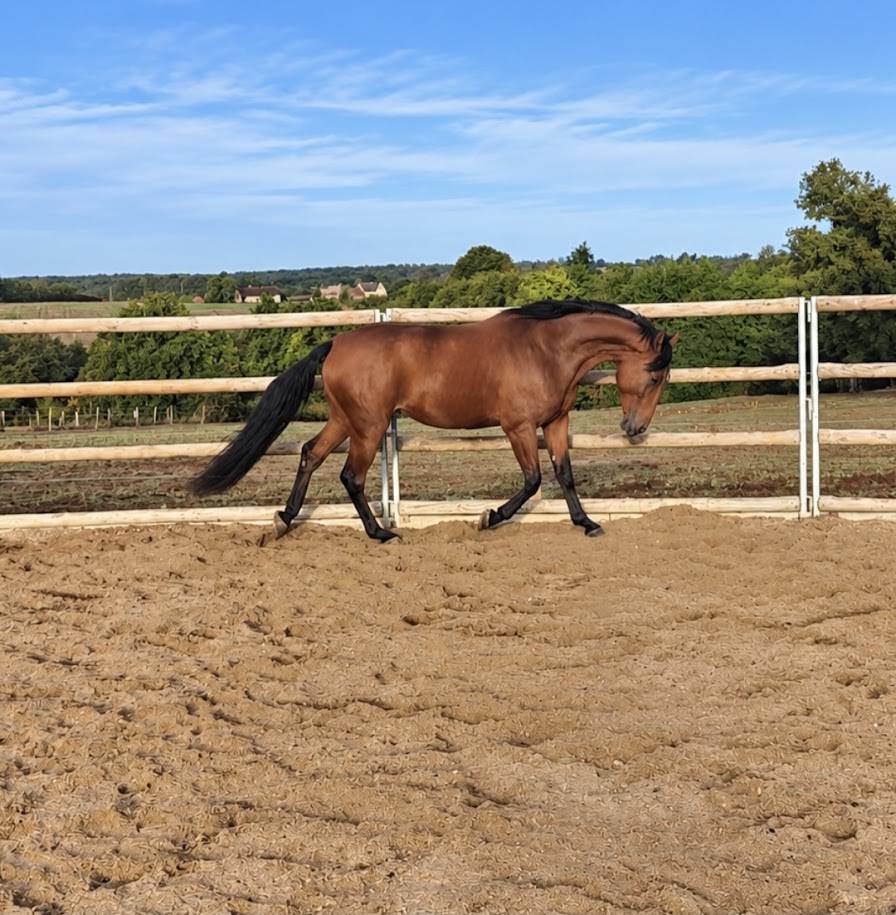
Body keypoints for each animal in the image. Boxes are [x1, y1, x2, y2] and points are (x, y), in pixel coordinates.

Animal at [190, 299, 678, 541]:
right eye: (655, 375)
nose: (635, 429)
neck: (545, 349)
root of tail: (335, 344)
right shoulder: (518, 427)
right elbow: (532, 480)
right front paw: (488, 518)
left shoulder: (555, 422)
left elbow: (565, 475)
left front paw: (588, 524)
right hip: (369, 426)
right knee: (350, 476)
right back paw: (380, 534)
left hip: (346, 420)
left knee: (311, 455)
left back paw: (284, 521)